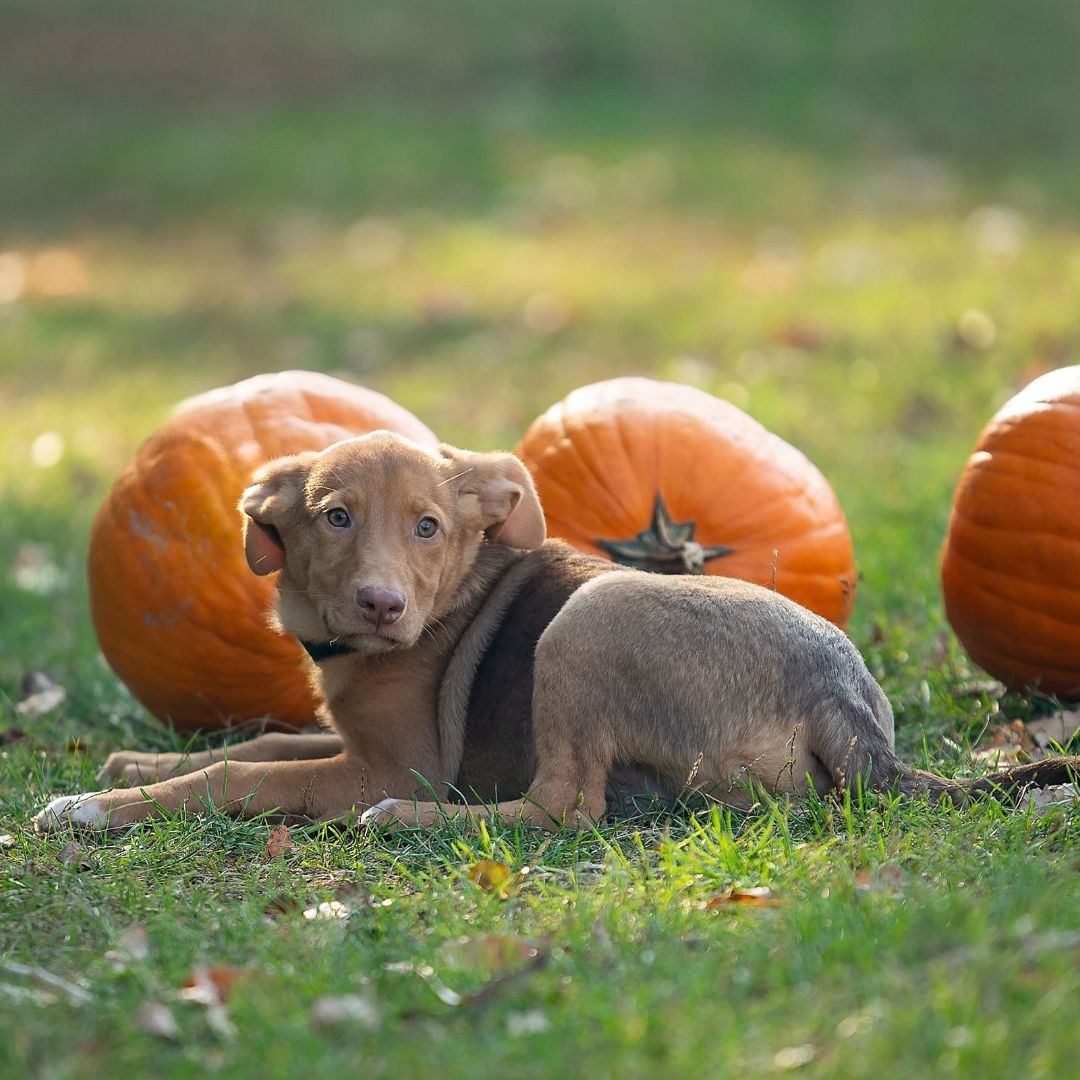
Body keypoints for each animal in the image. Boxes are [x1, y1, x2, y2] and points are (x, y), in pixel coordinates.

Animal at [35, 427, 1080, 825]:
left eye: (428, 527)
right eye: (334, 517)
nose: (383, 606)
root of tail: (854, 714)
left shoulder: (392, 761)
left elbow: (243, 774)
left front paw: (93, 806)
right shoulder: (344, 738)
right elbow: (263, 739)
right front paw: (131, 765)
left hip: (587, 616)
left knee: (561, 808)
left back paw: (411, 824)